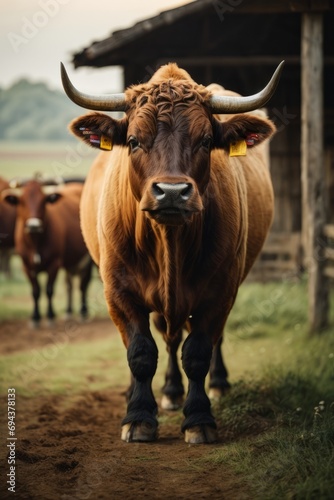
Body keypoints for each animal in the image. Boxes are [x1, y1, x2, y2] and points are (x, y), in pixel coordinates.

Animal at [1, 179, 92, 324]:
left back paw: (83, 312)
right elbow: (35, 291)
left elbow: (49, 289)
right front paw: (35, 317)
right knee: (69, 285)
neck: (35, 242)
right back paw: (68, 311)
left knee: (83, 285)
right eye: (22, 201)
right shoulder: (26, 266)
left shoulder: (54, 264)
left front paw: (50, 316)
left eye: (43, 201)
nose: (33, 225)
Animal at [61, 61, 284, 442]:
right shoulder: (118, 292)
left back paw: (214, 384)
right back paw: (166, 392)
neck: (168, 244)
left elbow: (197, 352)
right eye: (133, 141)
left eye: (206, 141)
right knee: (167, 337)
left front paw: (199, 419)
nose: (172, 192)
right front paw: (138, 416)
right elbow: (140, 353)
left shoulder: (220, 291)